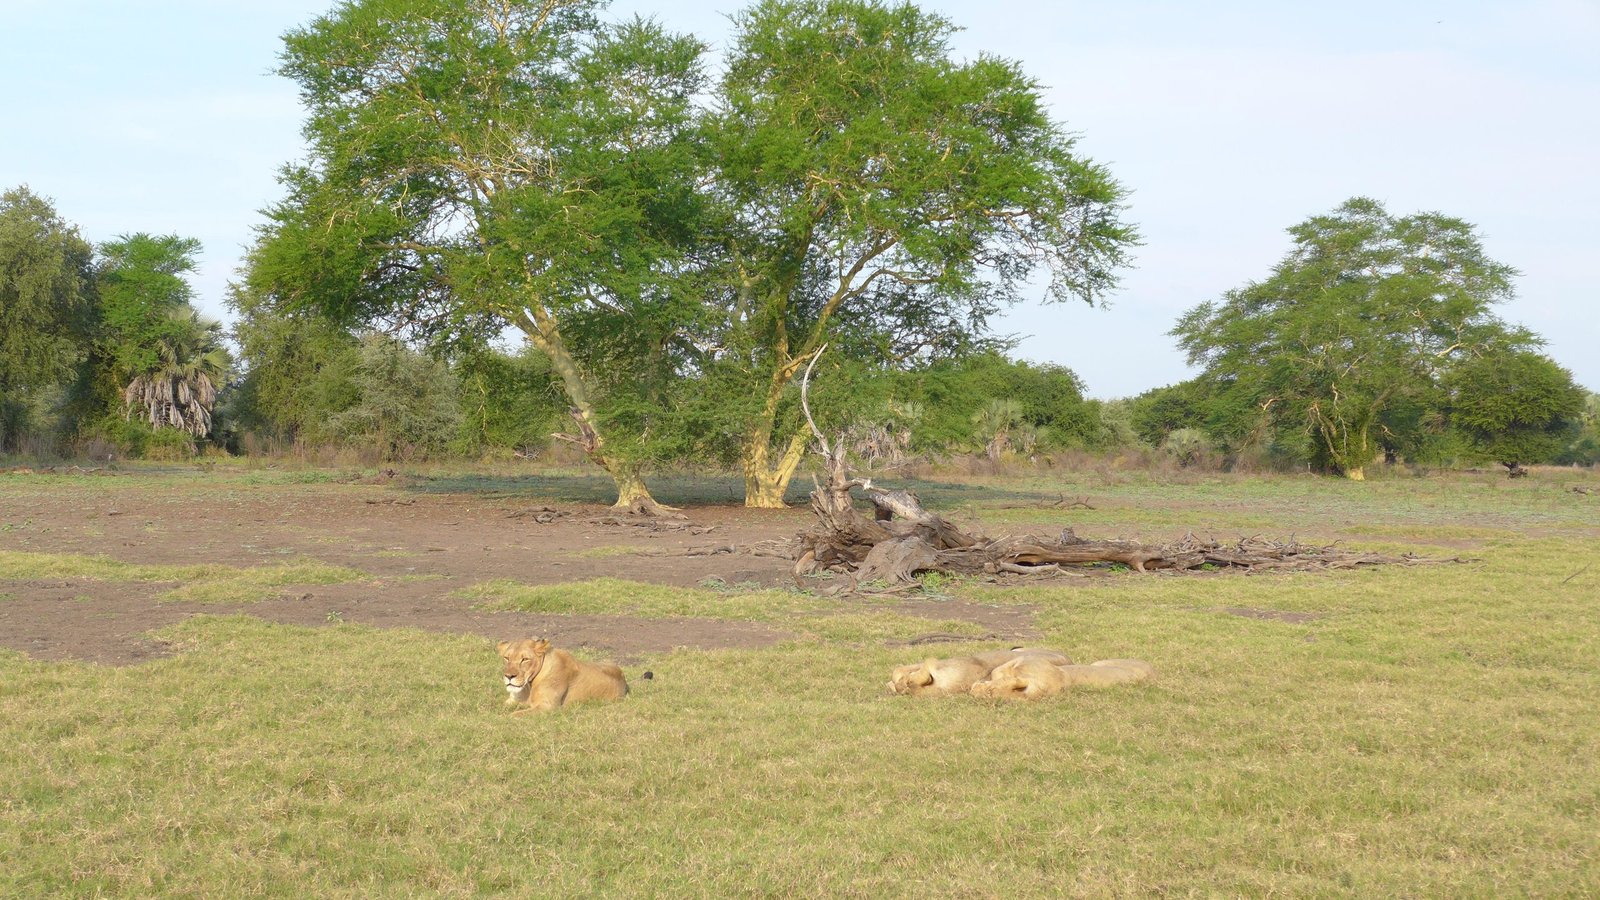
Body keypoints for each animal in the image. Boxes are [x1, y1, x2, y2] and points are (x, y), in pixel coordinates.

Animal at [497, 638, 630, 713]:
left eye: (524, 659)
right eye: (506, 658)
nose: (509, 676)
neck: (529, 685)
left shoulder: (547, 707)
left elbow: (514, 715)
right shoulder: (511, 701)